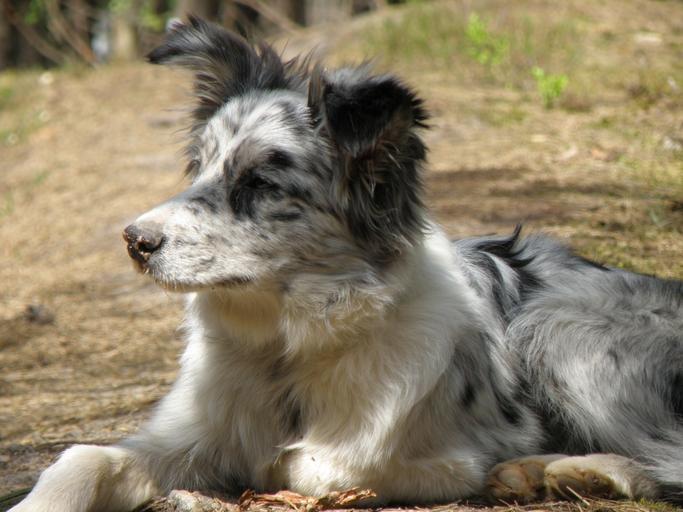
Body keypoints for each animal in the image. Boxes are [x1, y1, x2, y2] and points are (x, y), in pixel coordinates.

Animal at [11, 17, 682, 512]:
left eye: (260, 184)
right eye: (198, 168)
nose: (134, 240)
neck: (284, 356)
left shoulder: (431, 453)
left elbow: (315, 465)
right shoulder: (189, 433)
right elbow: (82, 458)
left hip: (556, 327)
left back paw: (562, 470)